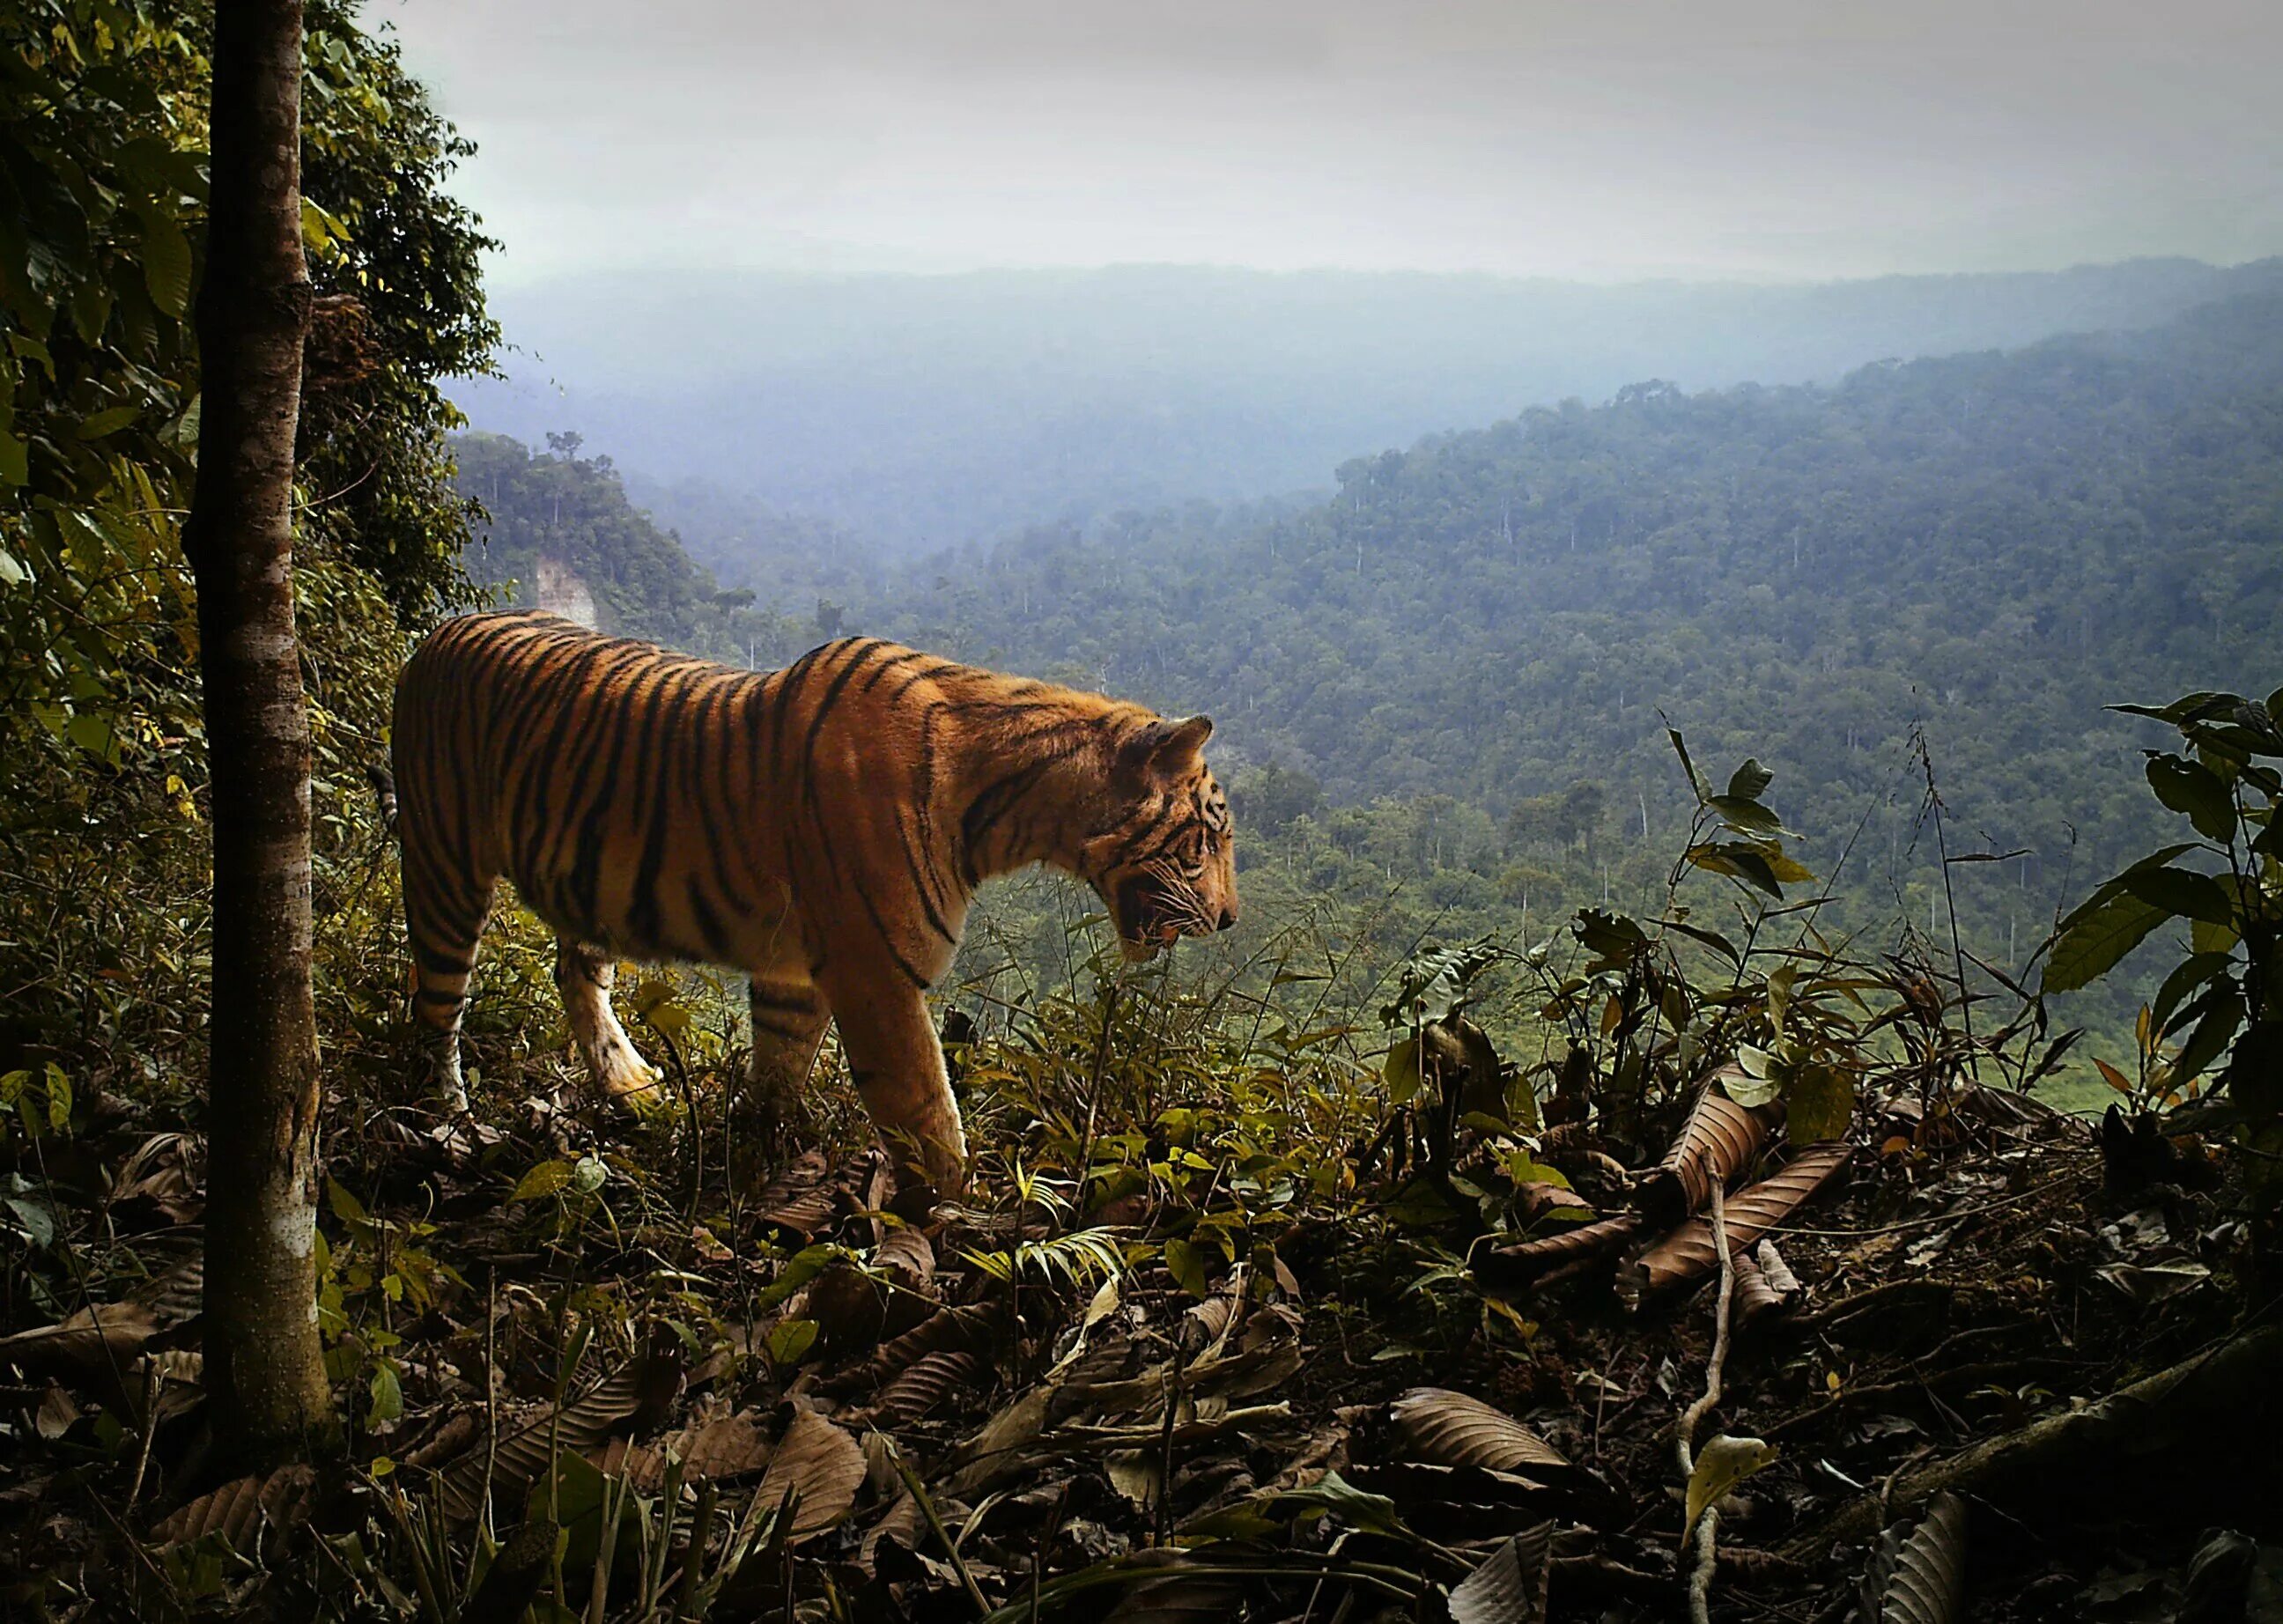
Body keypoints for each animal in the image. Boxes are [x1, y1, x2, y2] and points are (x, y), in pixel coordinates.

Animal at [395, 612, 1251, 1197]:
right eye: (1209, 837)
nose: (1231, 919)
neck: (1013, 810)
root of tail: (442, 630)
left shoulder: (795, 972)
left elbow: (778, 1072)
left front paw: (757, 1164)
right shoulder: (875, 975)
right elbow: (927, 1113)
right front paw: (964, 1225)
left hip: (585, 887)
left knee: (572, 971)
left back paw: (631, 1084)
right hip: (444, 870)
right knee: (434, 1012)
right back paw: (449, 1125)